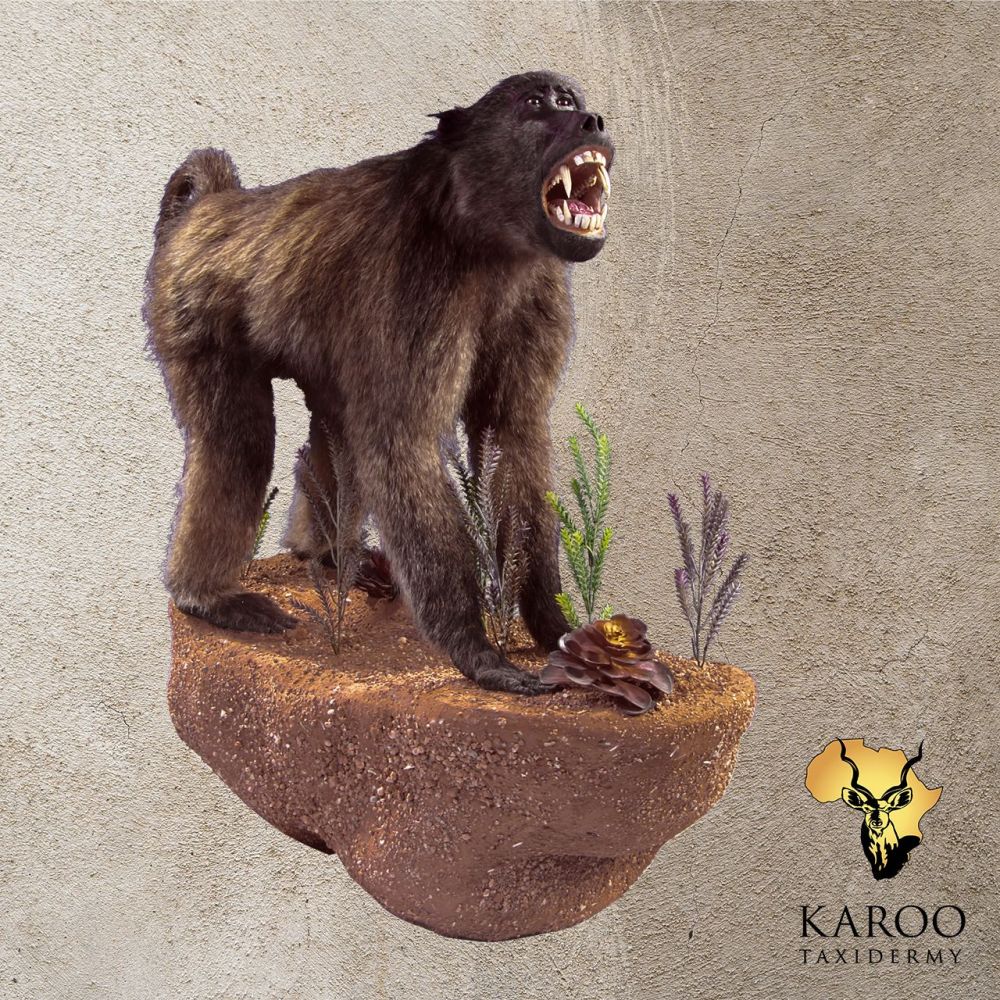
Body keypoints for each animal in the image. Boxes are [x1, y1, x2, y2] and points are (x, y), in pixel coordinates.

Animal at [144, 71, 614, 695]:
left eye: (571, 101)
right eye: (537, 105)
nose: (593, 121)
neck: (477, 228)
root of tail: (216, 206)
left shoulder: (539, 292)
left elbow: (512, 439)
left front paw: (552, 625)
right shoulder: (417, 283)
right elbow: (401, 443)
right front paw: (476, 651)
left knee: (336, 431)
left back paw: (324, 555)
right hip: (191, 307)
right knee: (239, 441)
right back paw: (207, 597)